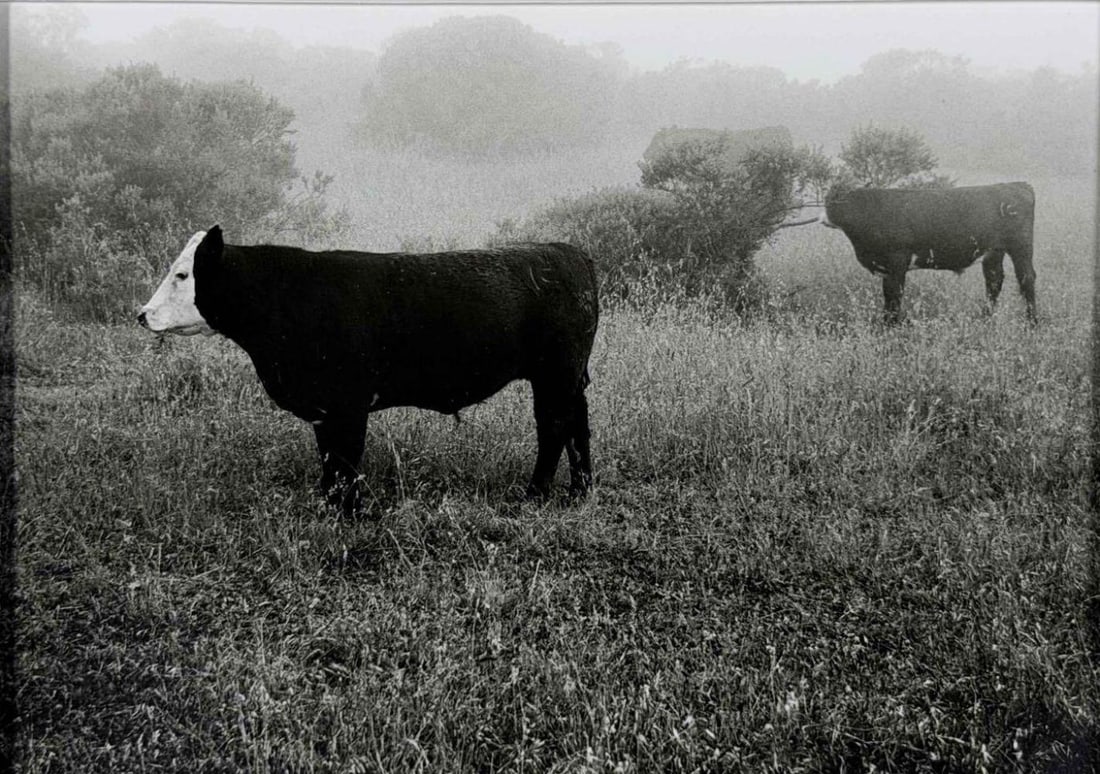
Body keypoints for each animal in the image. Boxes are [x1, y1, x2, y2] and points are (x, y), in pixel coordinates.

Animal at [138, 227, 599, 513]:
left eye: (183, 274)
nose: (142, 314)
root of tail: (567, 251)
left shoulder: (349, 402)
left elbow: (347, 459)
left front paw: (351, 512)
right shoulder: (324, 407)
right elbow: (329, 459)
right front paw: (329, 506)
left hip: (555, 374)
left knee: (554, 427)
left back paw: (535, 495)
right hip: (569, 378)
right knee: (578, 426)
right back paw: (579, 491)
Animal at [821, 182, 1036, 325]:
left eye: (837, 202)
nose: (823, 218)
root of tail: (1017, 185)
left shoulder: (897, 262)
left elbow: (894, 296)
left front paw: (890, 327)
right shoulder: (887, 268)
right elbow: (888, 297)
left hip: (1021, 247)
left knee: (1026, 278)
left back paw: (1032, 322)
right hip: (994, 252)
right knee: (994, 280)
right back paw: (985, 319)